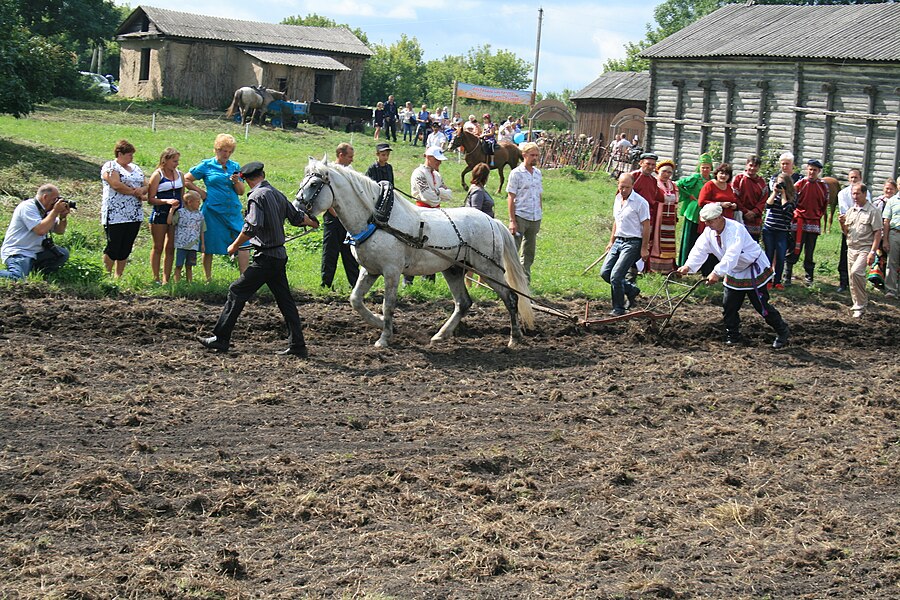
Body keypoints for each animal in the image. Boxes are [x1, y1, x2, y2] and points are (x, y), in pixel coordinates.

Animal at [296, 157, 536, 350]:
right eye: (302, 183)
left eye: (315, 184)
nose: (297, 208)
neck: (377, 218)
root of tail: (492, 221)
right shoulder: (370, 270)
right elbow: (355, 300)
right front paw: (379, 322)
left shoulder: (391, 271)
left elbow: (388, 304)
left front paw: (384, 337)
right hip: (454, 269)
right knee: (463, 302)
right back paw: (441, 335)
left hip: (488, 269)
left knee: (511, 298)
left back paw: (515, 338)